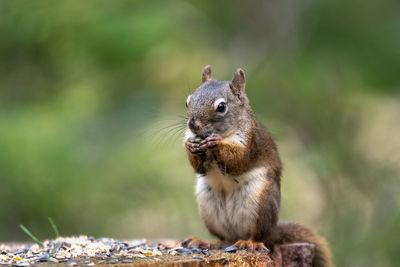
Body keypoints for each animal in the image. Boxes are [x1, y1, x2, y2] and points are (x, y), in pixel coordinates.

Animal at [183, 65, 332, 267]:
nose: (193, 125)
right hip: (209, 208)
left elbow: (238, 160)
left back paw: (250, 243)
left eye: (221, 107)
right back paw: (205, 242)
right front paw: (191, 146)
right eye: (187, 102)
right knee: (224, 239)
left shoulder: (250, 143)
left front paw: (216, 142)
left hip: (261, 203)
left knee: (258, 235)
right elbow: (199, 167)